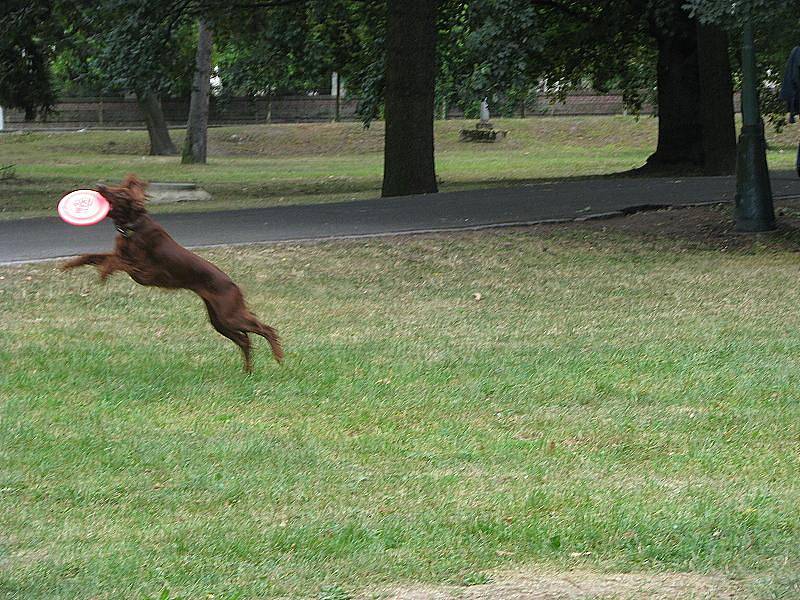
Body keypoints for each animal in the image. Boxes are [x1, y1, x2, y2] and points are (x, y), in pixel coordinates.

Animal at [65, 173, 284, 370]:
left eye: (120, 192)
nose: (99, 185)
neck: (133, 227)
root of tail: (235, 286)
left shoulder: (143, 271)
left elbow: (114, 262)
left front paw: (103, 273)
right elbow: (93, 256)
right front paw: (68, 265)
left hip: (229, 315)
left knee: (265, 329)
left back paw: (278, 357)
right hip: (219, 320)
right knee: (245, 340)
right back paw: (248, 371)